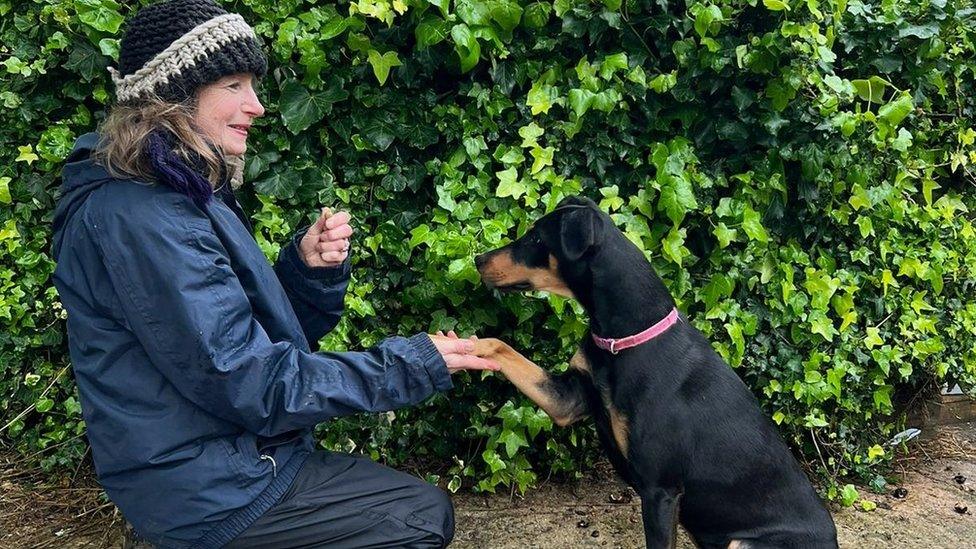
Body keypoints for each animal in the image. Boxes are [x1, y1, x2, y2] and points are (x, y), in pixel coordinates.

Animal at [472, 195, 840, 544]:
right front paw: (464, 347)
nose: (477, 260)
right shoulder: (569, 399)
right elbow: (500, 345)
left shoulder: (660, 490)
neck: (622, 339)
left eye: (536, 238)